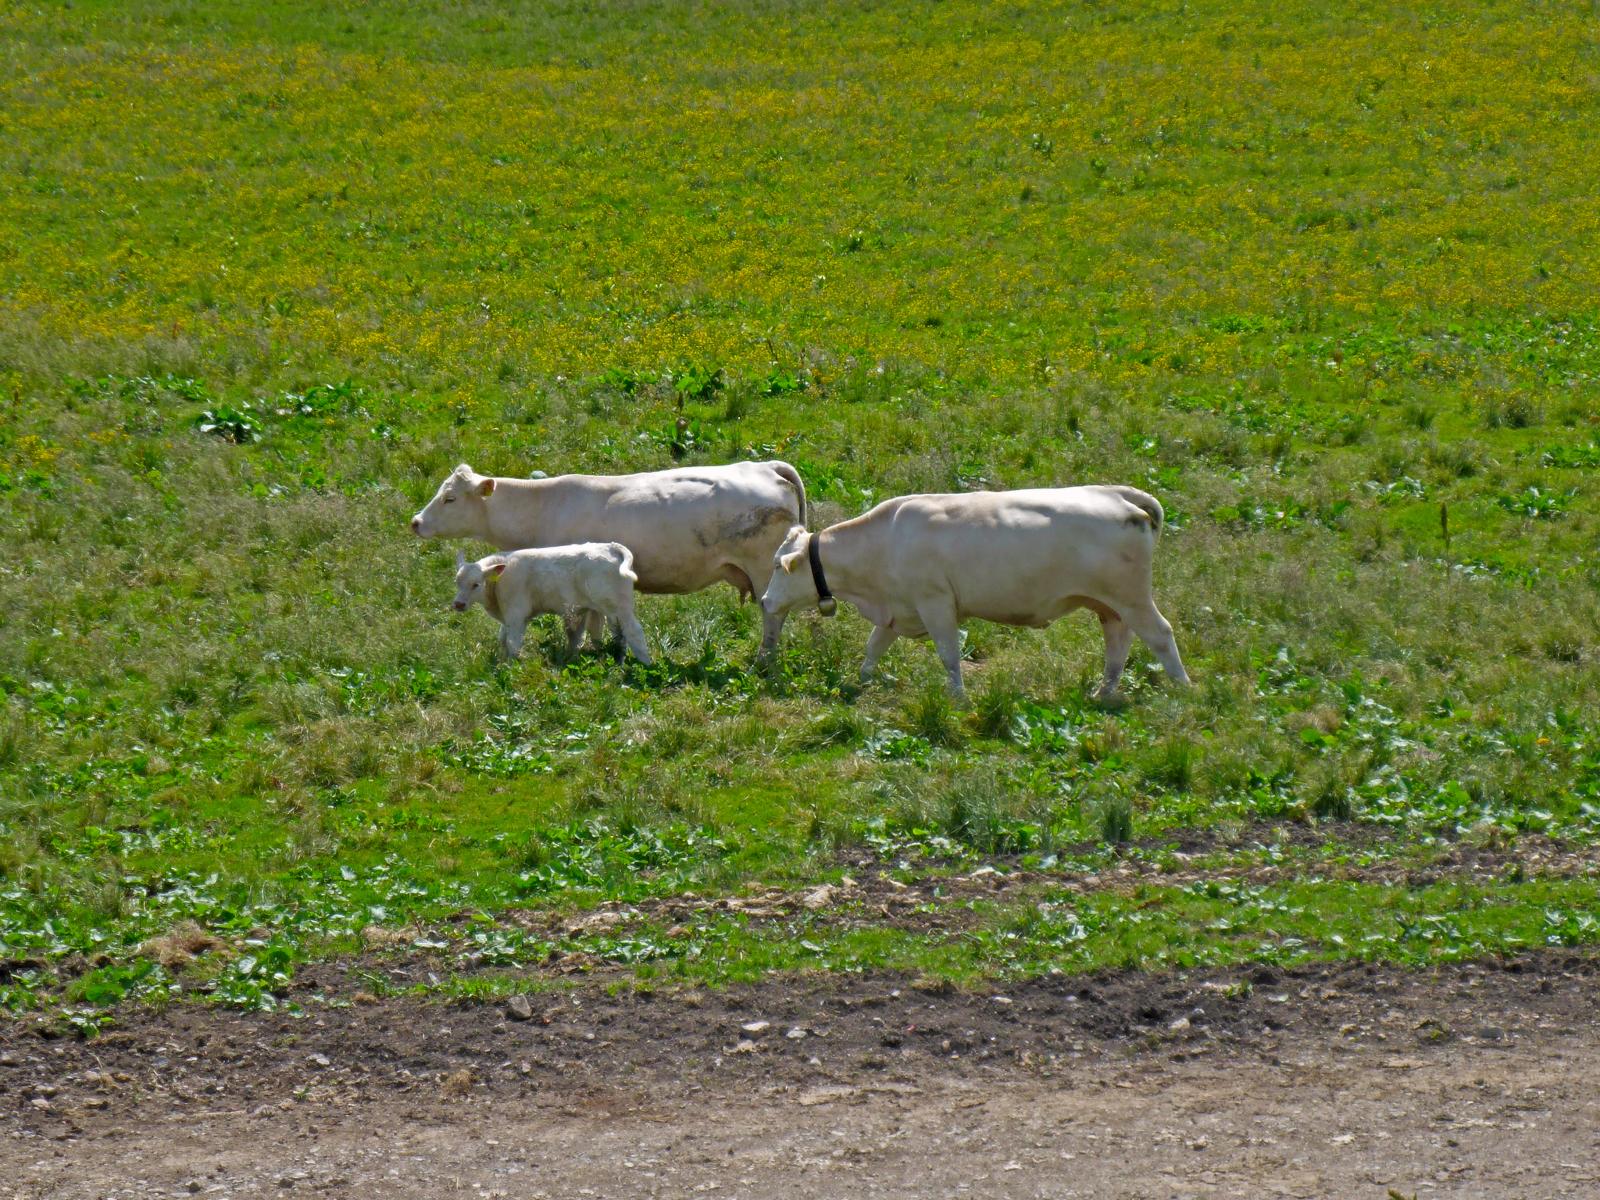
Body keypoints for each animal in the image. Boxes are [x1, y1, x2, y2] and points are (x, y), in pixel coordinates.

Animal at [448, 547, 652, 668]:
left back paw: (646, 663)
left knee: (634, 631)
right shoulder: (507, 618)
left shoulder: (516, 615)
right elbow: (502, 639)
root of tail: (610, 546)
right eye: (457, 582)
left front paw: (512, 667)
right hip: (611, 611)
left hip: (621, 608)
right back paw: (619, 661)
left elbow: (513, 643)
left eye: (476, 584)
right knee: (618, 635)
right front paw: (502, 661)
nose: (458, 604)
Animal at [758, 486, 1190, 700]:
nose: (764, 601)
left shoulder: (935, 603)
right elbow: (873, 647)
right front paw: (862, 681)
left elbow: (949, 654)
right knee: (1118, 643)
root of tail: (1119, 495)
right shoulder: (899, 609)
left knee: (1160, 634)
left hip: (1131, 597)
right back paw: (1103, 692)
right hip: (1110, 604)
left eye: (778, 566)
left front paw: (957, 696)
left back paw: (1183, 689)